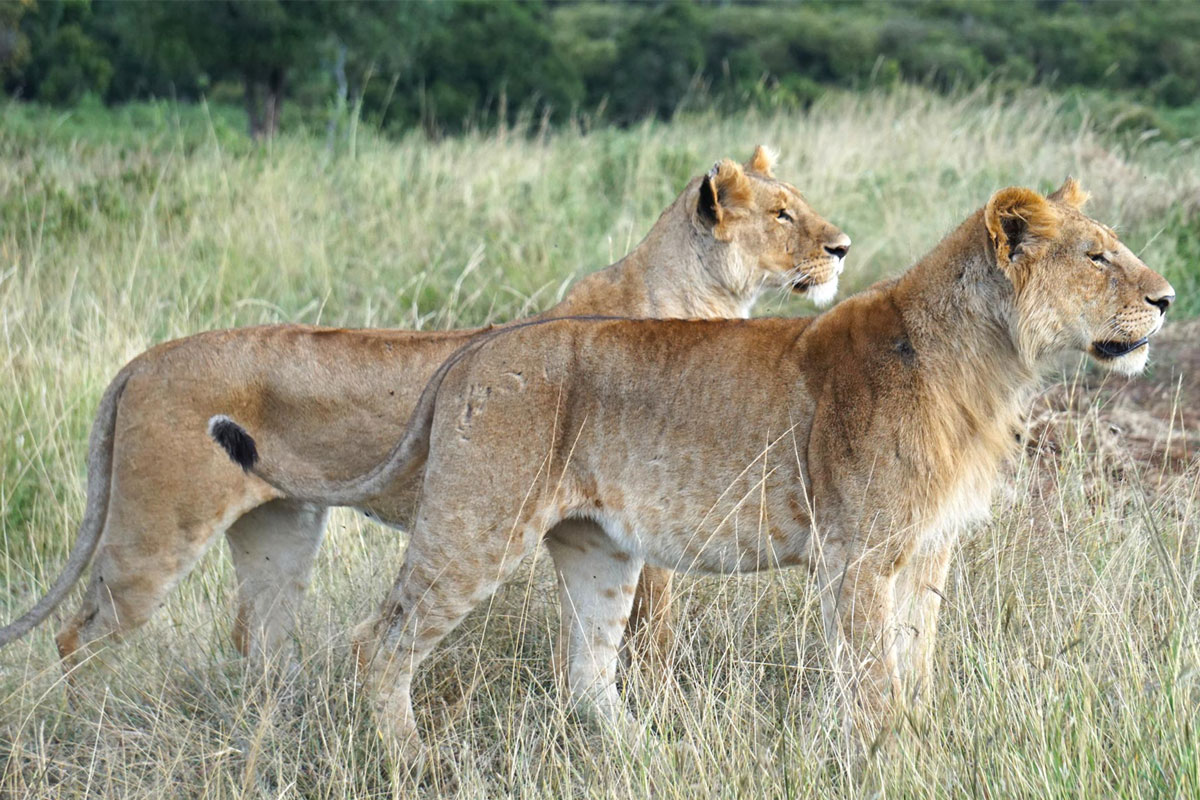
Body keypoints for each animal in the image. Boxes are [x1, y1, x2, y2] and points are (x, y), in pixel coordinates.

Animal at [0, 147, 852, 672]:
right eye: (782, 214)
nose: (842, 248)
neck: (699, 295)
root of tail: (139, 361)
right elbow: (655, 632)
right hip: (155, 530)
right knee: (80, 636)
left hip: (280, 531)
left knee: (256, 638)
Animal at [208, 179, 1172, 759]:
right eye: (1097, 256)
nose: (1166, 300)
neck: (990, 365)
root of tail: (473, 350)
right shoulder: (858, 555)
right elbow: (871, 679)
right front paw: (884, 758)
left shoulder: (927, 550)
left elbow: (916, 665)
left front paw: (920, 740)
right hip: (476, 528)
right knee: (381, 642)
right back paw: (411, 760)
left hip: (599, 551)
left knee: (588, 674)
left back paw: (642, 753)